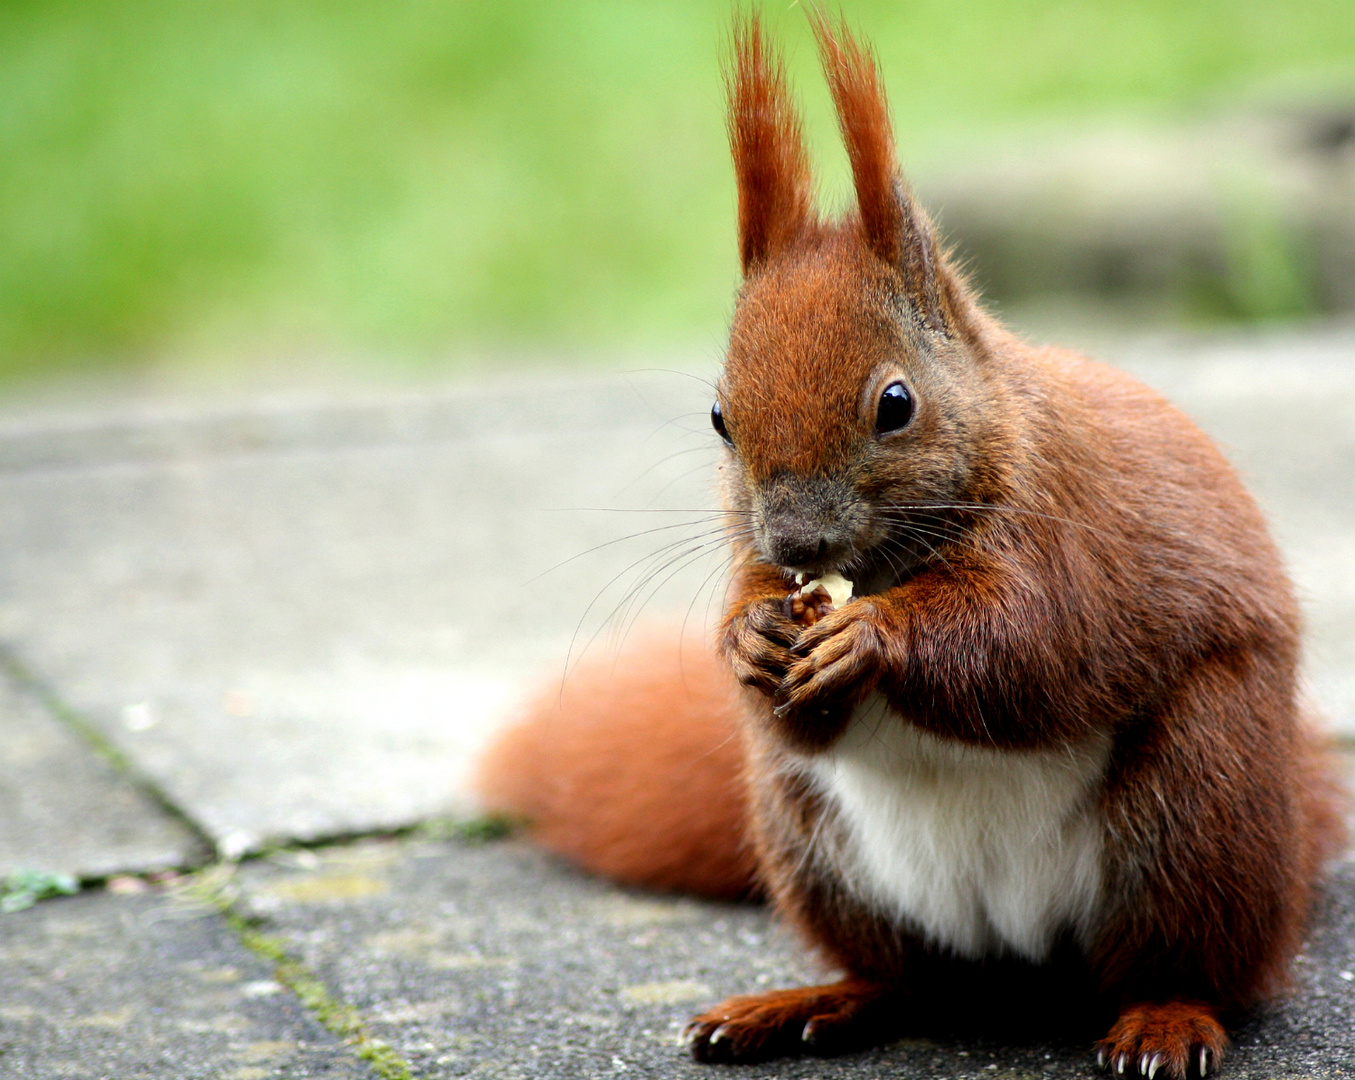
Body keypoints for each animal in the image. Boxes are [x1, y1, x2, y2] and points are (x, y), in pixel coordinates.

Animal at [476, 10, 1344, 1078]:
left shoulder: (1072, 531)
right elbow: (779, 689)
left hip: (1201, 806)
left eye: (896, 404)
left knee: (1190, 964)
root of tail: (1022, 963)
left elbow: (1032, 644)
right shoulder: (757, 575)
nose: (797, 537)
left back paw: (1164, 1021)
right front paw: (749, 640)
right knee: (907, 981)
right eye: (720, 418)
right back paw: (808, 1003)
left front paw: (870, 639)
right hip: (812, 845)